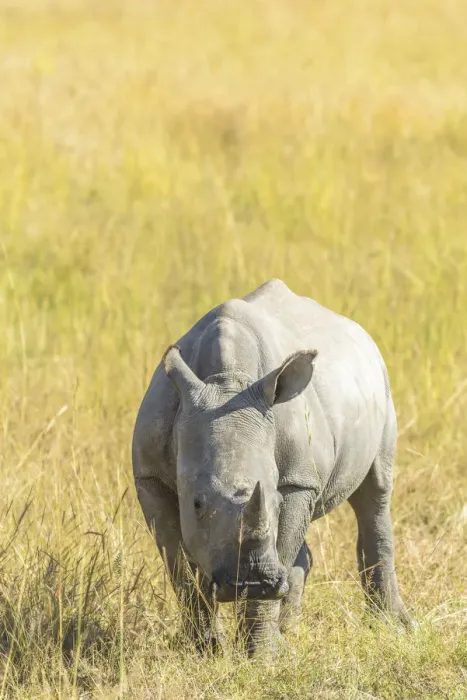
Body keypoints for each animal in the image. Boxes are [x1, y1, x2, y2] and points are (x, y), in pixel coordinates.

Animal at [132, 278, 414, 655]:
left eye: (275, 501)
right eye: (197, 503)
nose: (253, 583)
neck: (226, 383)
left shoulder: (297, 481)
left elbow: (281, 542)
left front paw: (261, 656)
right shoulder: (150, 477)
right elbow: (180, 568)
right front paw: (206, 651)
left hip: (381, 384)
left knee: (375, 492)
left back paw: (392, 627)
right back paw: (289, 631)